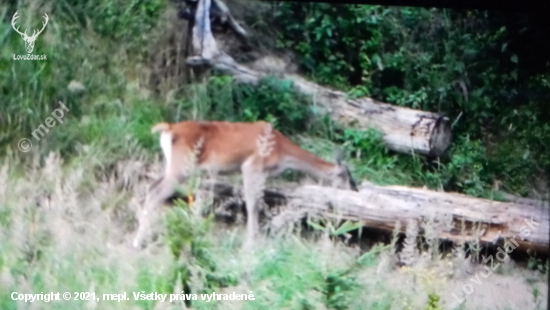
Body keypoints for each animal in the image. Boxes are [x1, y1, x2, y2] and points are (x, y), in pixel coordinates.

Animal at [133, 120, 358, 249]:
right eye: (348, 177)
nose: (355, 190)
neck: (281, 151)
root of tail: (168, 128)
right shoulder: (252, 165)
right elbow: (253, 204)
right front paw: (251, 242)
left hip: (172, 166)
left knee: (151, 187)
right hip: (182, 166)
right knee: (156, 193)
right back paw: (138, 242)